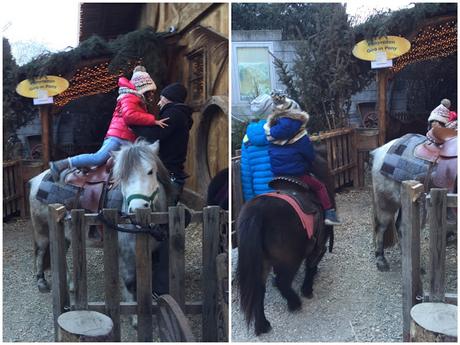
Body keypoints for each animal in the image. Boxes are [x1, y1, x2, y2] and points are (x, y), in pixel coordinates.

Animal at [237, 150, 334, 334]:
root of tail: (258, 211)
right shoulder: (317, 246)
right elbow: (311, 264)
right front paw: (307, 289)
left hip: (262, 262)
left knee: (259, 289)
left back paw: (262, 325)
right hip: (291, 259)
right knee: (283, 282)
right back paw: (294, 303)